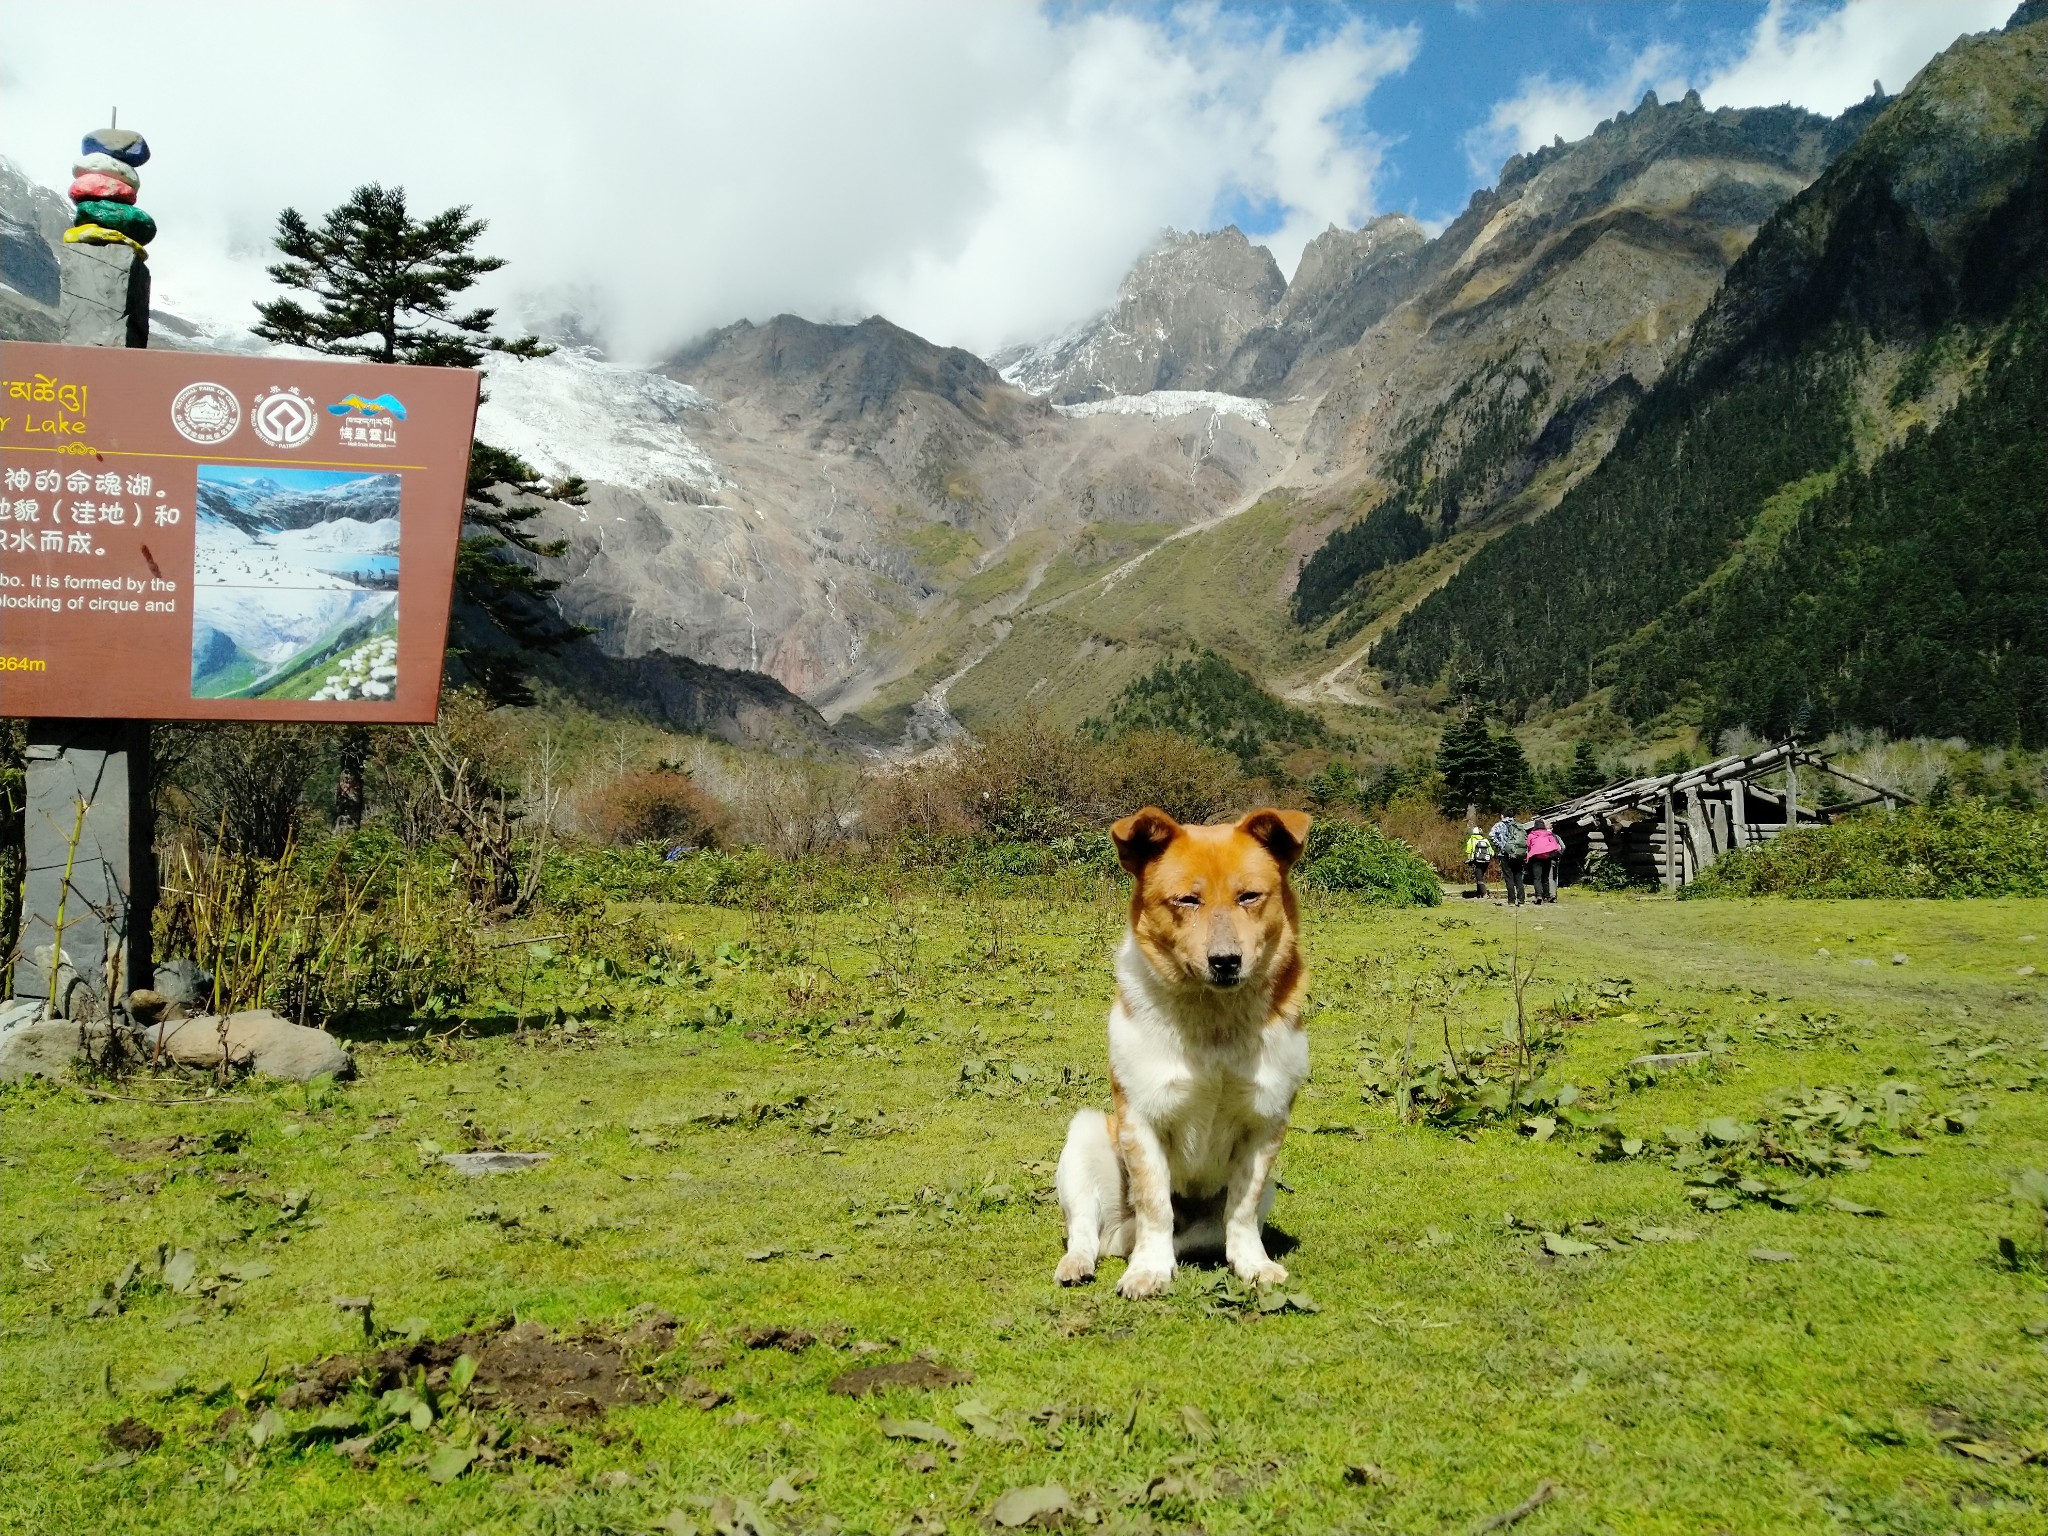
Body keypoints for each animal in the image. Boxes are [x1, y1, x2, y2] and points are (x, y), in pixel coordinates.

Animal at [1056, 806, 1310, 1302]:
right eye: (1187, 901)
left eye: (1250, 896)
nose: (1226, 961)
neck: (1213, 1024)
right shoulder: (1140, 1120)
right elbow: (1155, 1205)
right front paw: (1147, 1271)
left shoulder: (1266, 1123)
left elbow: (1241, 1211)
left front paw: (1253, 1265)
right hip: (1085, 1136)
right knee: (1088, 1230)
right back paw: (1079, 1262)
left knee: (1196, 1233)